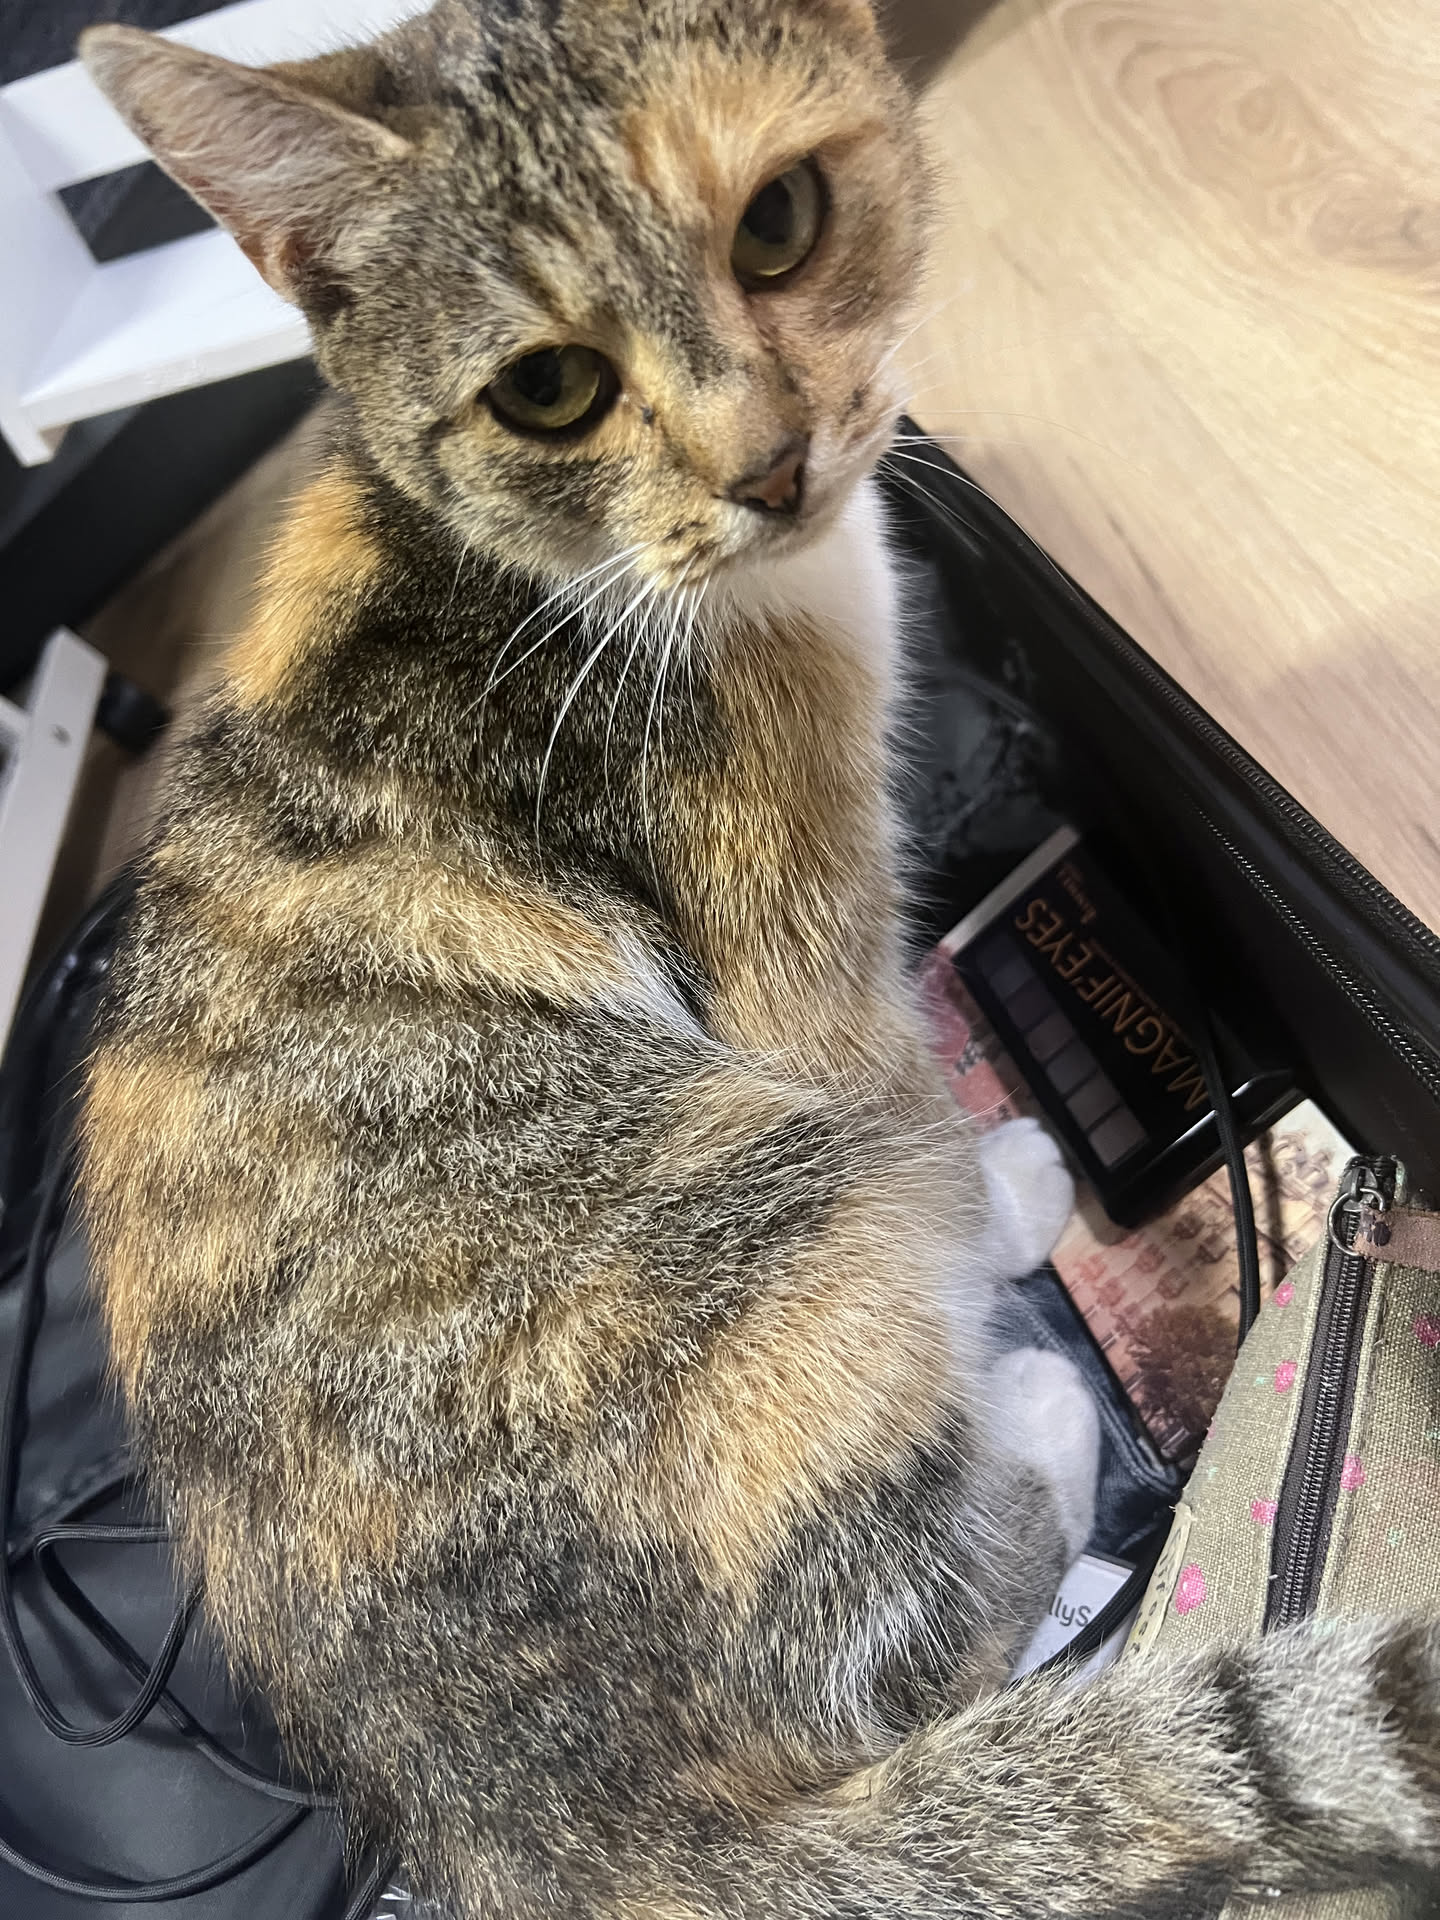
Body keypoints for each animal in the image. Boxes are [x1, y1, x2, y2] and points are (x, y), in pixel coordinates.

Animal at [78, 5, 1440, 1917]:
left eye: (781, 222)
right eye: (549, 389)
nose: (771, 467)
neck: (539, 573)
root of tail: (525, 1820)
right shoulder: (801, 954)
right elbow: (911, 1109)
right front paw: (1008, 1202)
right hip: (751, 1213)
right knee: (917, 1634)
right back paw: (1032, 1412)